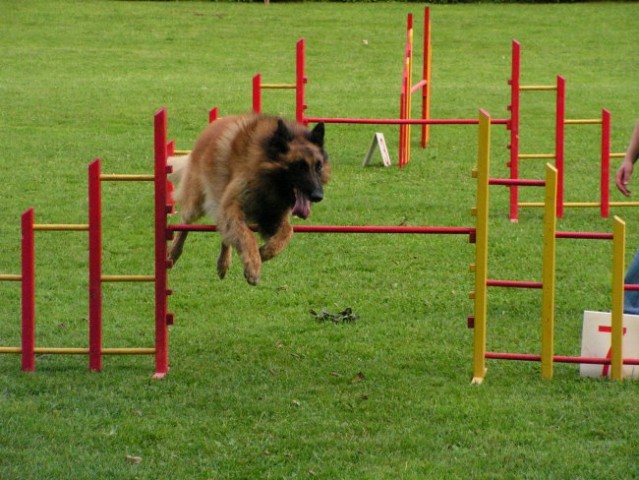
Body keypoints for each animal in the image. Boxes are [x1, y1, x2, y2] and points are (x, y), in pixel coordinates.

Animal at [168, 112, 330, 284]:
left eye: (318, 166)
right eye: (299, 166)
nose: (318, 196)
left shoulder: (272, 215)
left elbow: (287, 232)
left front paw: (265, 252)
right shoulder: (232, 207)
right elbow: (248, 235)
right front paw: (253, 265)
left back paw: (223, 263)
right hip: (196, 203)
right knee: (185, 222)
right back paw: (174, 252)